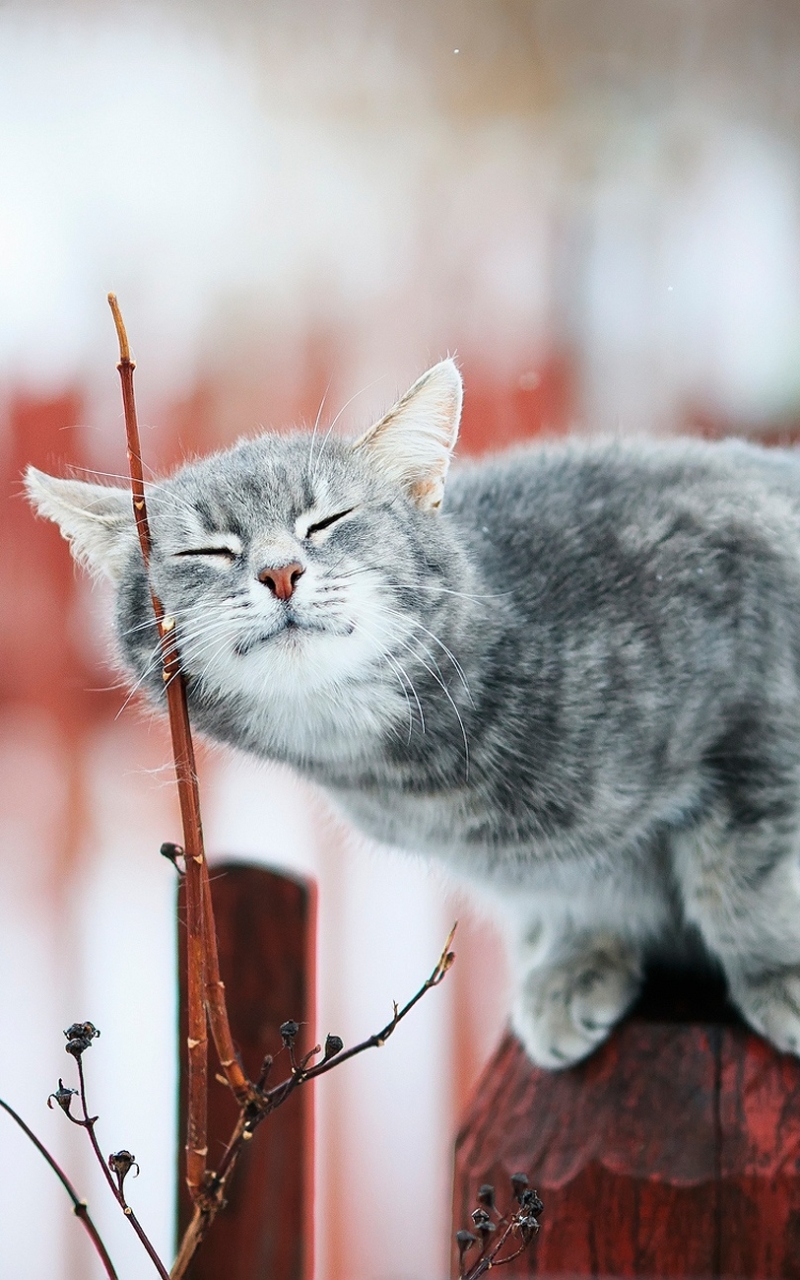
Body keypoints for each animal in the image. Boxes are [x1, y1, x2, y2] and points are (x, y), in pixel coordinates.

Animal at [23, 363, 800, 1070]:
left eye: (327, 521)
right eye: (207, 551)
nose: (279, 572)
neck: (417, 777)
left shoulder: (758, 721)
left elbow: (740, 879)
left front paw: (775, 974)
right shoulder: (540, 875)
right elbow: (581, 898)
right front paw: (576, 960)